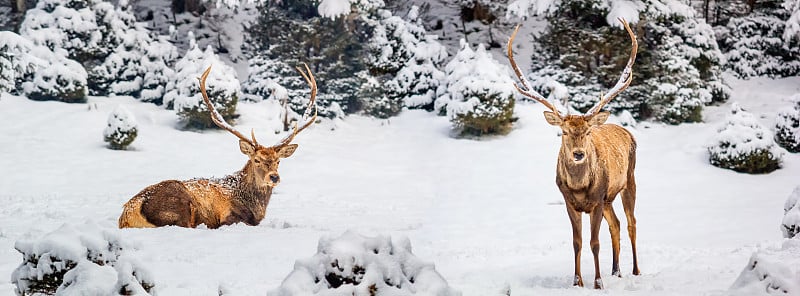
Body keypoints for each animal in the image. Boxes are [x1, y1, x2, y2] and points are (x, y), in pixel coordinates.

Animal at [119, 65, 318, 229]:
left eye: (278, 161)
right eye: (256, 160)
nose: (274, 177)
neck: (255, 206)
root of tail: (127, 214)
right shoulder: (229, 218)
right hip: (178, 205)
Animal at [510, 18, 640, 290]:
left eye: (588, 131)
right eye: (564, 131)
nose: (579, 154)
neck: (580, 188)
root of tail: (625, 130)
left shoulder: (597, 199)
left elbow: (594, 243)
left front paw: (598, 282)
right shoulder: (570, 202)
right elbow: (577, 242)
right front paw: (577, 281)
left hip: (629, 180)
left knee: (631, 223)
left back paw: (634, 270)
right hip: (608, 198)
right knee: (616, 224)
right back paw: (616, 271)